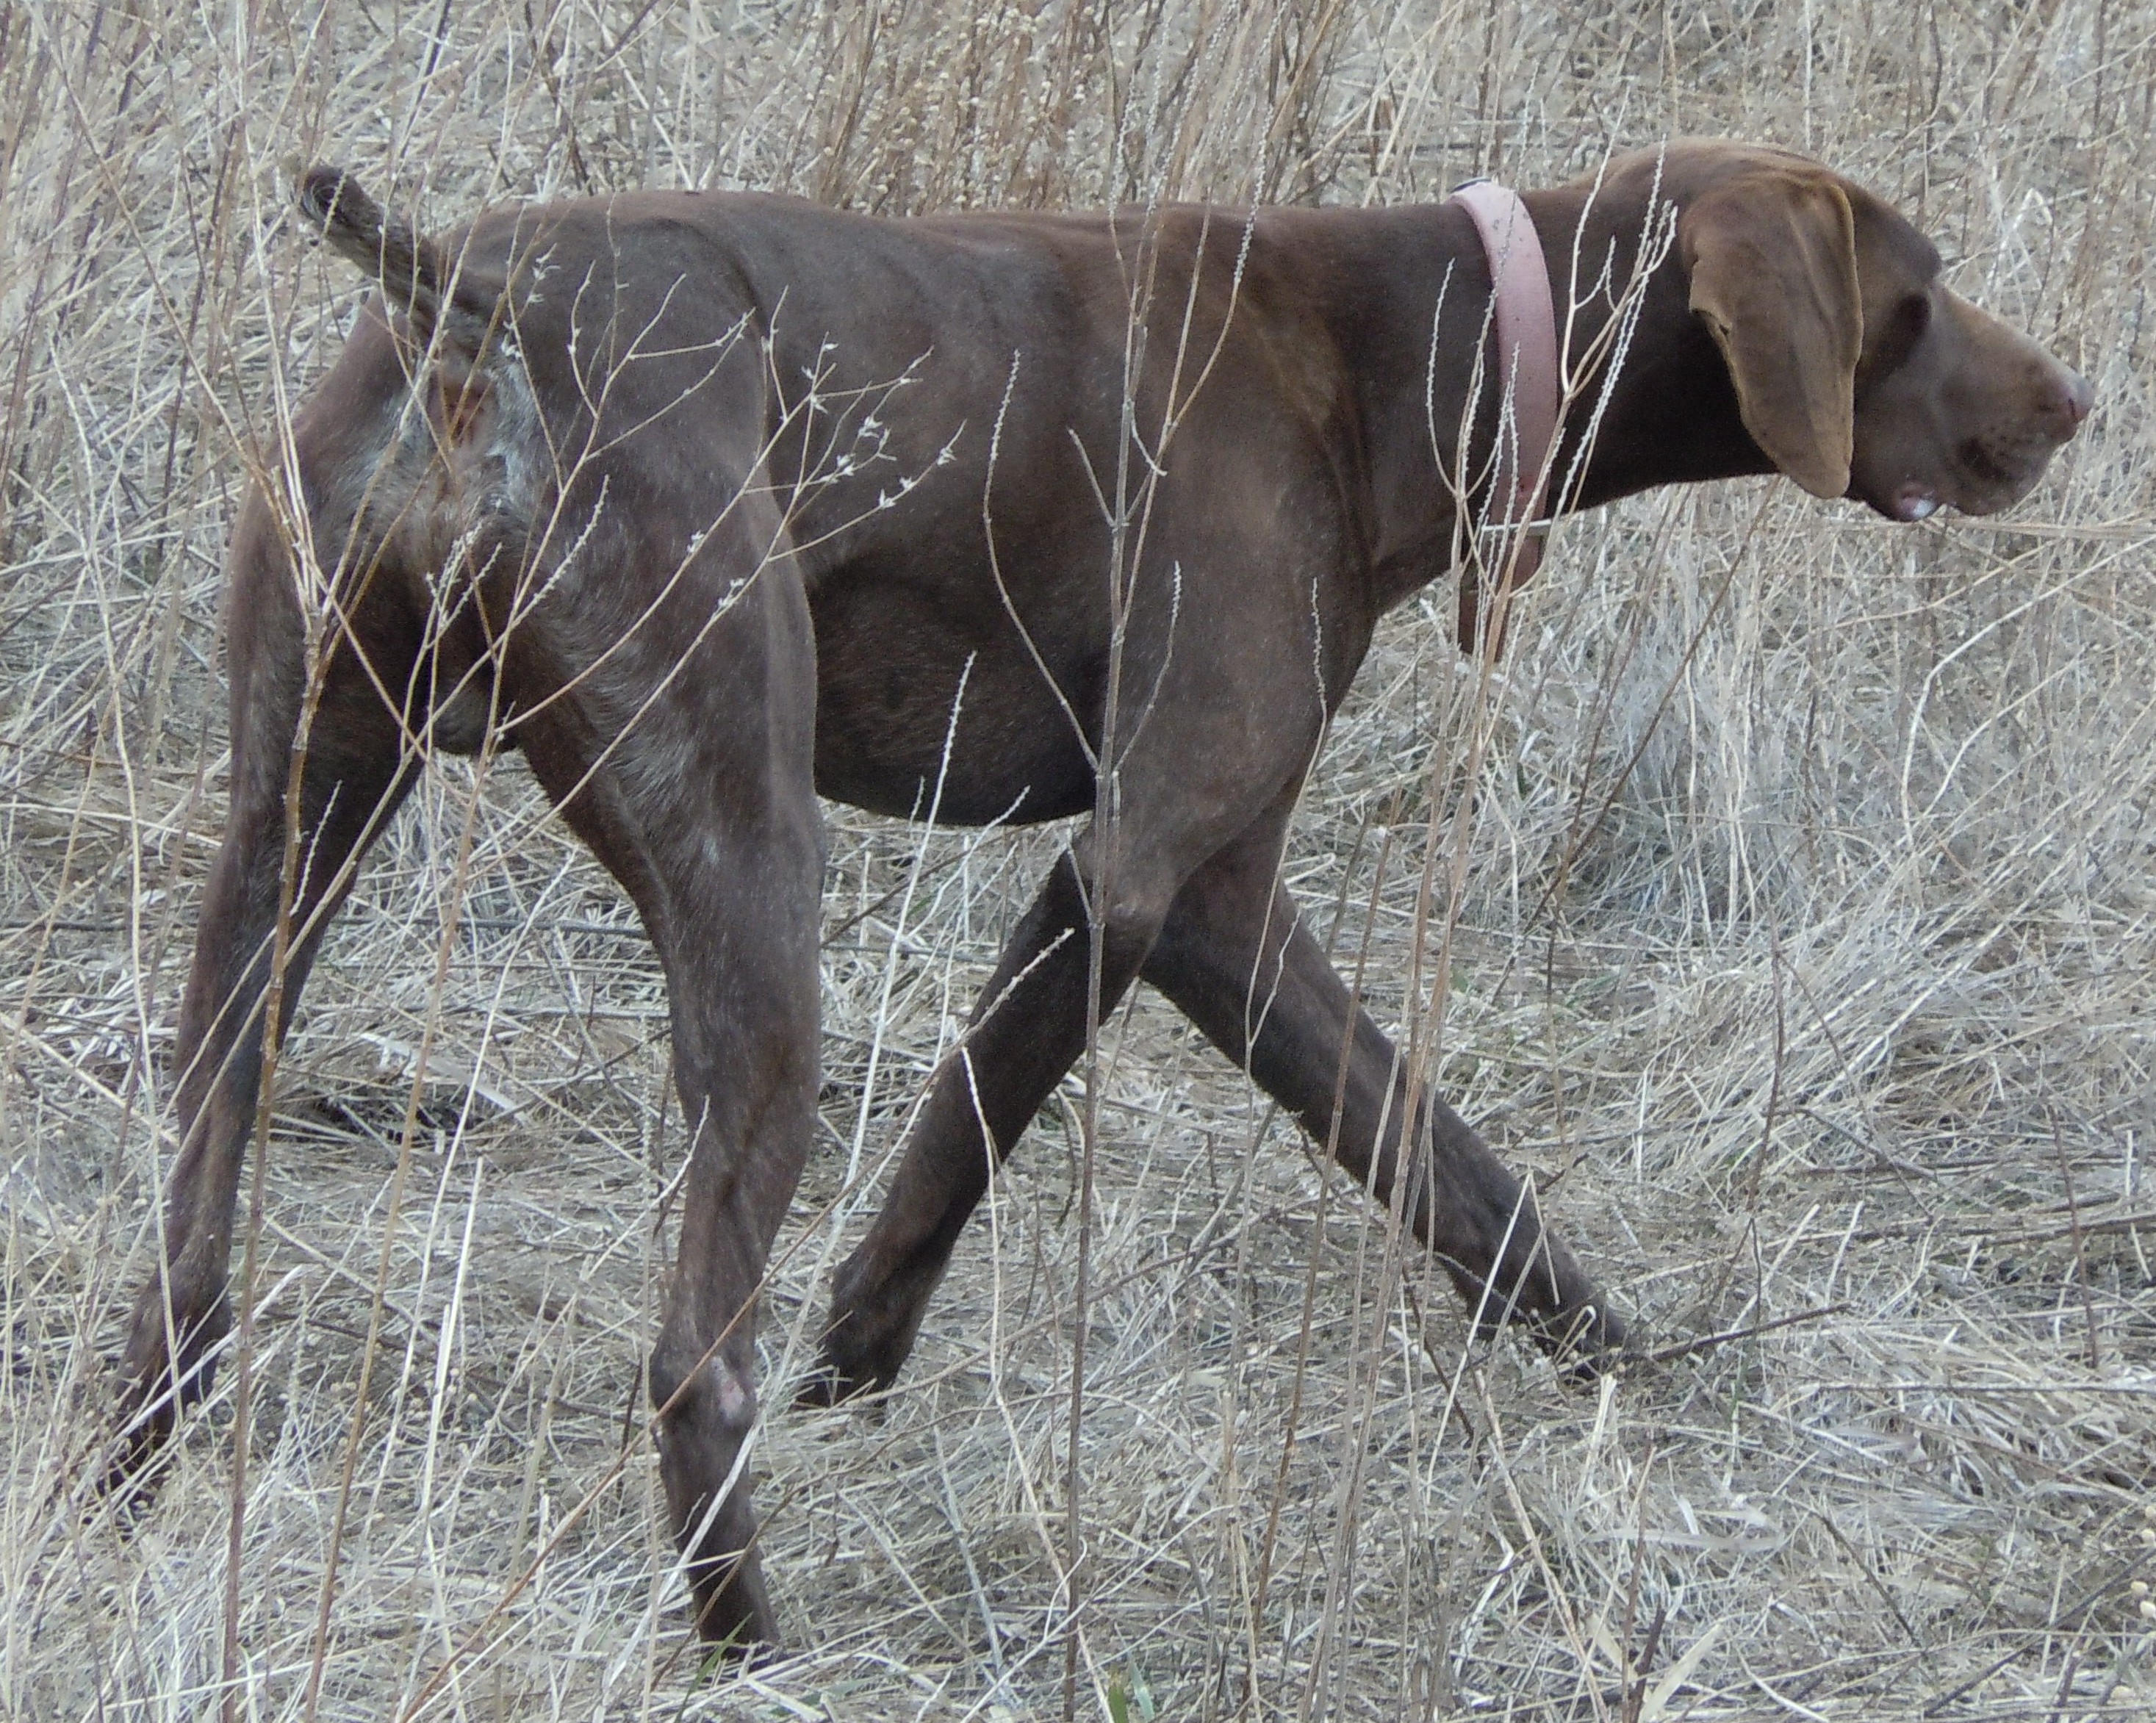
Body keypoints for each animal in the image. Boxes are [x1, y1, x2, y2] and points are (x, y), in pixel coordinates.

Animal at [113, 137, 2087, 1647]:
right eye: (1923, 290)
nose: (2073, 401)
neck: (1414, 341)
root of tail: (472, 305)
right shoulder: (1132, 866)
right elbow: (964, 1128)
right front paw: (853, 1358)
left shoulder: (1222, 901)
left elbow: (1448, 1164)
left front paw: (1623, 1363)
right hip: (746, 865)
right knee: (691, 1363)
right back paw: (755, 1639)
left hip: (288, 837)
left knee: (191, 1207)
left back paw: (138, 1455)